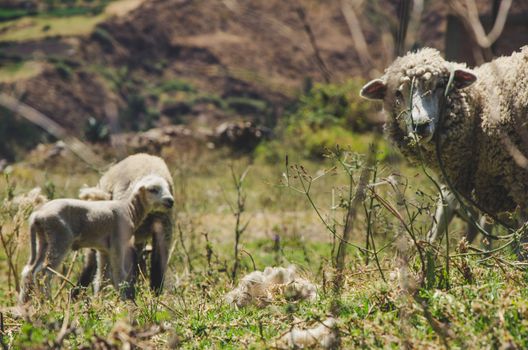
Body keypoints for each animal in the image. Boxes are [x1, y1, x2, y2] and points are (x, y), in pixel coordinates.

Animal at [74, 153, 174, 296]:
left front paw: (155, 295)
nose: (170, 201)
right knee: (91, 264)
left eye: (167, 188)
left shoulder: (163, 229)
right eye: (152, 190)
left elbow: (158, 266)